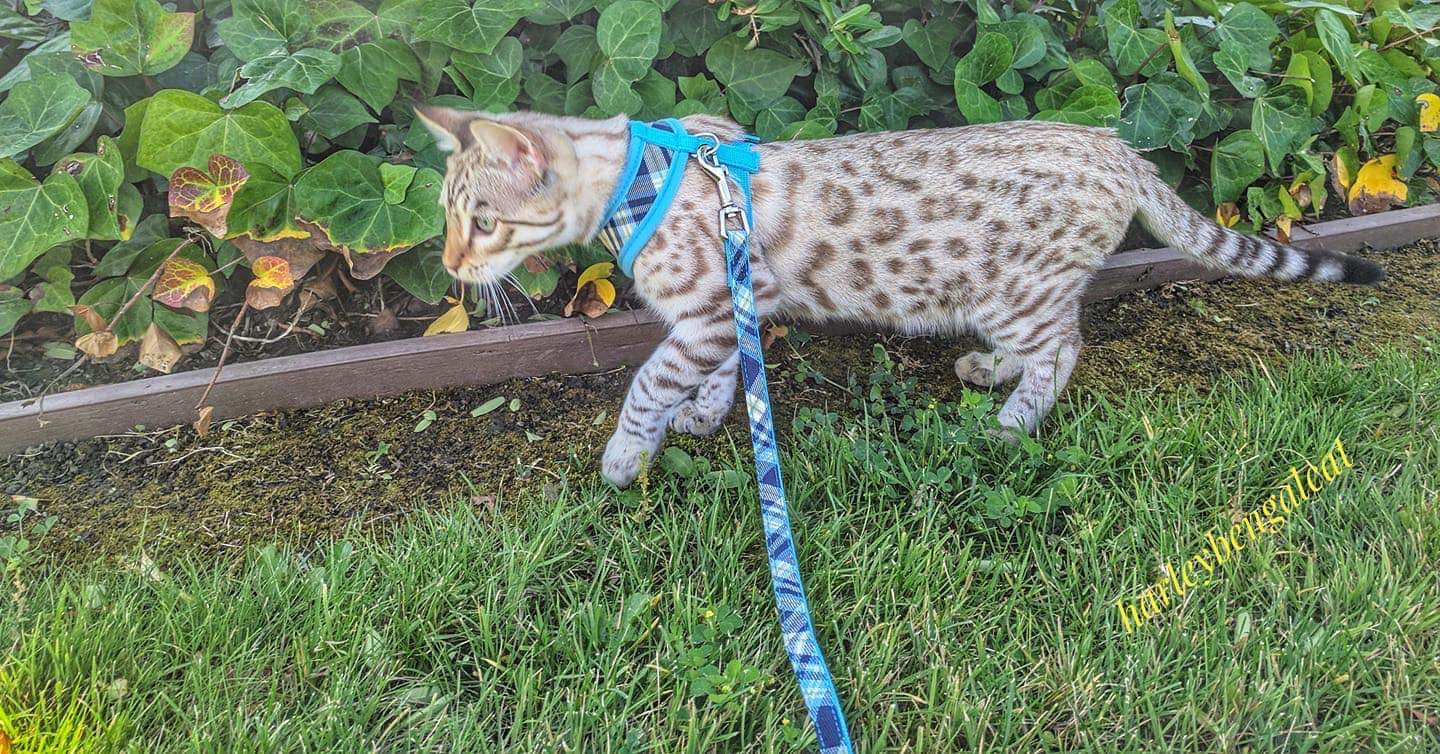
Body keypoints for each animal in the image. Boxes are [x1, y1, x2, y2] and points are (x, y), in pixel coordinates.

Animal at [414, 107, 1382, 489]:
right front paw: (705, 413)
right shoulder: (726, 312)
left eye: (484, 222)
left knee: (1066, 347)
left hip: (1014, 290)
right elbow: (719, 377)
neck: (638, 179)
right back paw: (991, 372)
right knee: (1054, 338)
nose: (453, 265)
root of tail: (1117, 146)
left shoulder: (705, 312)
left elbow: (647, 384)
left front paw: (626, 456)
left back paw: (1012, 417)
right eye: (447, 215)